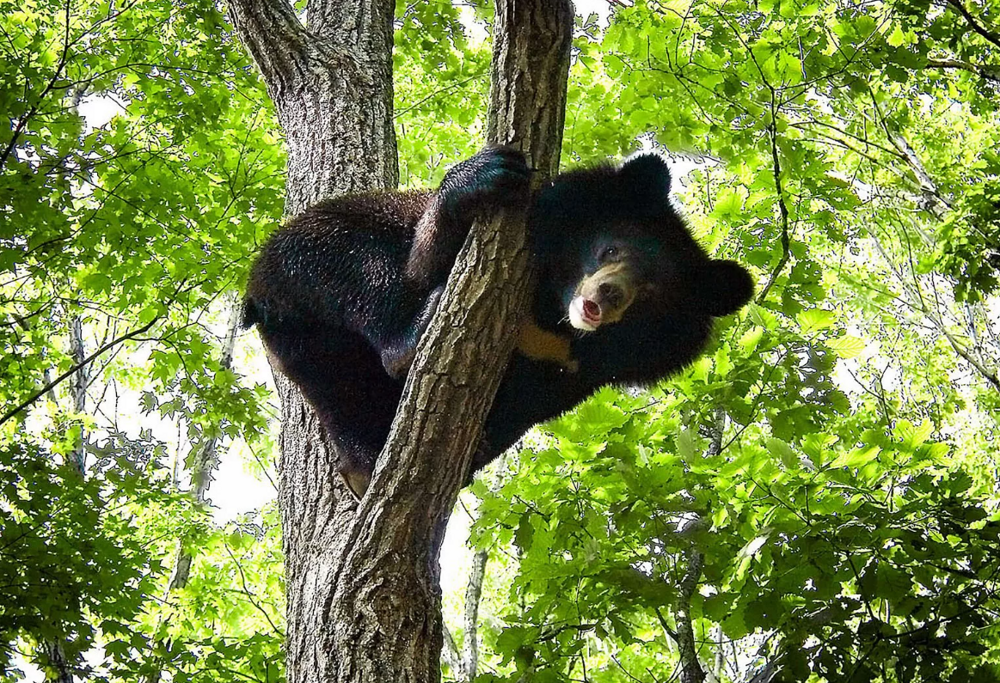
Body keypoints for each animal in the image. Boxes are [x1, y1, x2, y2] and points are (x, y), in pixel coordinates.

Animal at [246, 147, 752, 496]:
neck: (551, 312)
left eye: (650, 293)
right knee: (346, 256)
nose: (608, 295)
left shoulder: (573, 368)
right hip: (300, 269)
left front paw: (480, 444)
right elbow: (422, 262)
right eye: (610, 249)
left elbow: (526, 405)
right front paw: (482, 177)